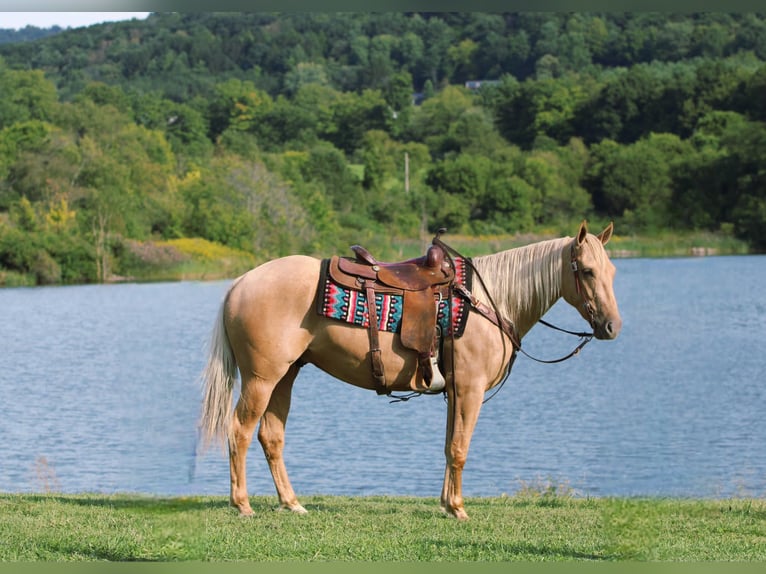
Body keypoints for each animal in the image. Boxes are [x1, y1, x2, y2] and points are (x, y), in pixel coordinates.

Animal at [197, 220, 622, 520]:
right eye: (586, 271)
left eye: (613, 271)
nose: (611, 326)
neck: (489, 300)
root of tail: (240, 282)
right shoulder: (470, 388)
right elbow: (460, 448)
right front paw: (459, 509)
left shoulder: (455, 391)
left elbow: (449, 447)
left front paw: (447, 504)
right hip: (261, 379)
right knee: (239, 432)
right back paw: (243, 504)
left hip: (285, 376)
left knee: (271, 436)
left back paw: (291, 503)